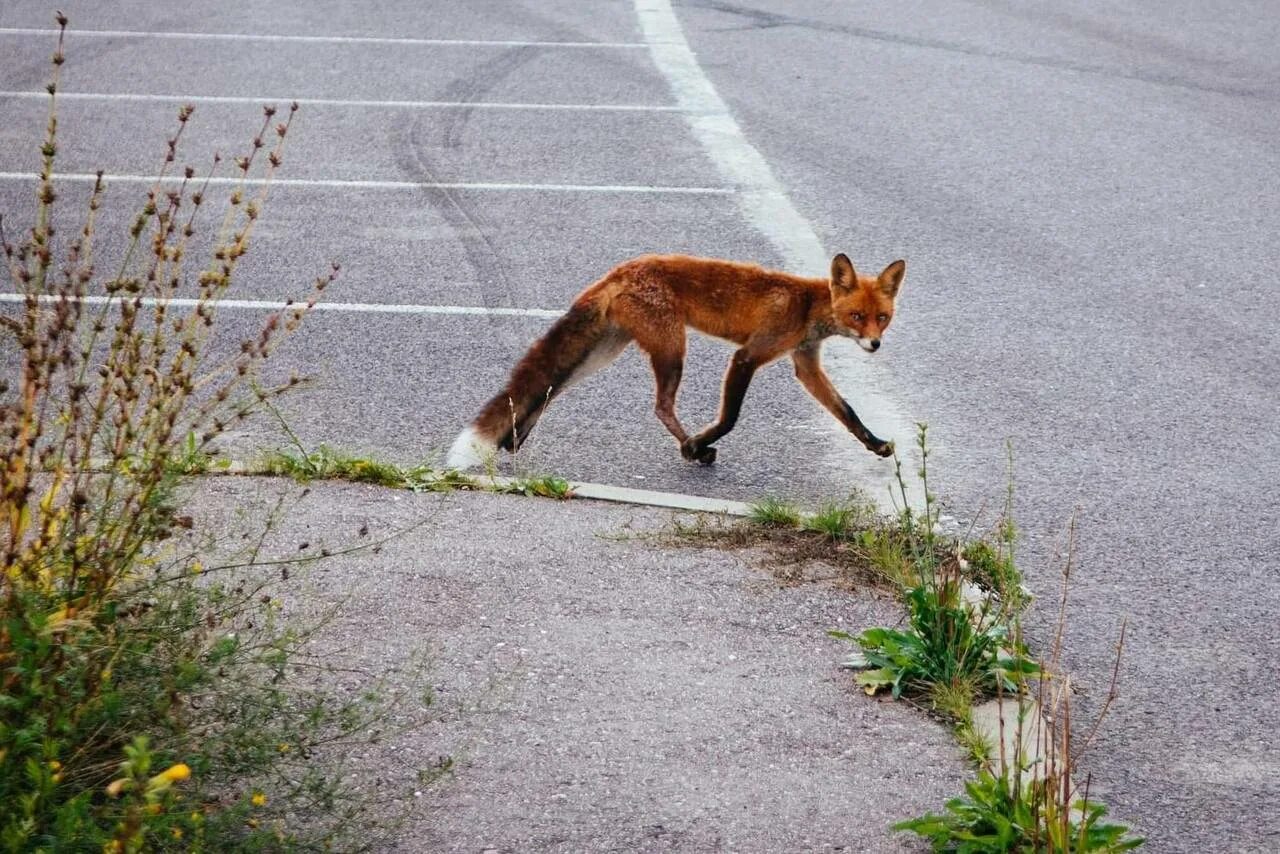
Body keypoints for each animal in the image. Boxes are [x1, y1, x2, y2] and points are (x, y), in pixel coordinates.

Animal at [445, 250, 906, 471]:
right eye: (857, 316)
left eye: (882, 317)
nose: (874, 344)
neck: (807, 307)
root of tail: (619, 270)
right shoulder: (748, 355)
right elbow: (730, 417)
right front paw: (701, 442)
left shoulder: (805, 363)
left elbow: (847, 412)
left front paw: (876, 444)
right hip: (672, 348)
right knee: (661, 406)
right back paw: (691, 448)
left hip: (604, 353)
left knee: (550, 387)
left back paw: (514, 437)